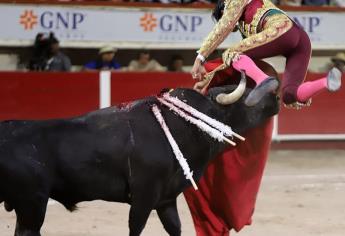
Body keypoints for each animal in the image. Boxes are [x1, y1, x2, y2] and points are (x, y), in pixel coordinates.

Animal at [0, 73, 278, 235]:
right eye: (246, 99)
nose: (276, 95)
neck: (185, 125)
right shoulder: (144, 196)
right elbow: (136, 227)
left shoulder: (166, 199)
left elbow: (175, 228)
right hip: (33, 205)